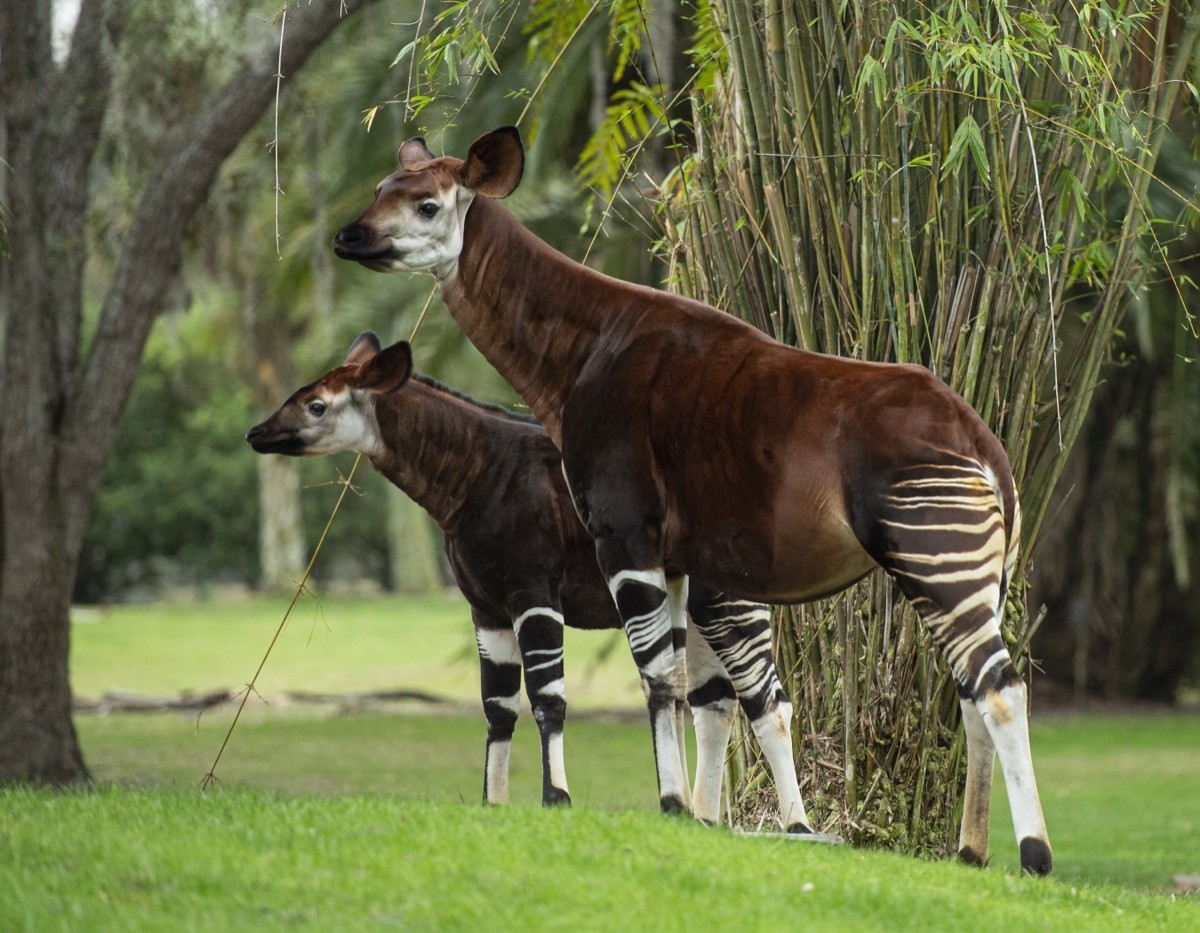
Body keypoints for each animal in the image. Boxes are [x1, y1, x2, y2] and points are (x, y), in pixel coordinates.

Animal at [246, 328, 806, 820]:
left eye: (316, 405)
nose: (256, 433)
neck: (473, 477)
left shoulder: (531, 591)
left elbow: (547, 699)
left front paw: (556, 798)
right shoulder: (486, 608)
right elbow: (497, 707)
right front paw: (494, 802)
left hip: (728, 598)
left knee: (766, 700)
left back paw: (795, 827)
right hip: (692, 604)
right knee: (713, 703)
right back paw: (706, 820)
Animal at [328, 128, 1051, 873]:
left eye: (427, 205)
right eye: (381, 189)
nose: (347, 236)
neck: (583, 352)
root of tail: (981, 437)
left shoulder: (624, 533)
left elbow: (658, 679)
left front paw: (673, 805)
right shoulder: (673, 559)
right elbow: (682, 684)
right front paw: (689, 815)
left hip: (933, 551)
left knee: (1000, 687)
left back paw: (1033, 854)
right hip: (970, 568)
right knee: (969, 689)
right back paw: (970, 851)